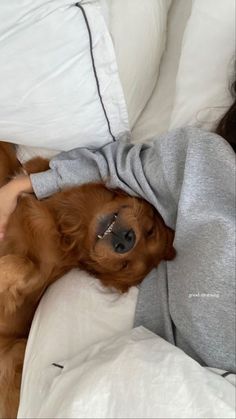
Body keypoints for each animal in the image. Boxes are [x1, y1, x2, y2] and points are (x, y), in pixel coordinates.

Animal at [0, 143, 175, 418]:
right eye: (150, 232)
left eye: (124, 265)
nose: (125, 241)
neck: (61, 219)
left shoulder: (34, 279)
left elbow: (20, 265)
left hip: (15, 352)